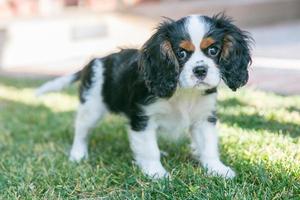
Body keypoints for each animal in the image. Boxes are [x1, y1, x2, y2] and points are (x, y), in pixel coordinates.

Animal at [37, 14, 253, 180]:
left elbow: (208, 146)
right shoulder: (143, 117)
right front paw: (156, 173)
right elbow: (149, 149)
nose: (200, 70)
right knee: (82, 131)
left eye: (213, 50)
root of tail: (97, 60)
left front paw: (217, 169)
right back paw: (78, 154)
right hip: (91, 106)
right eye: (181, 53)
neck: (183, 91)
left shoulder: (203, 118)